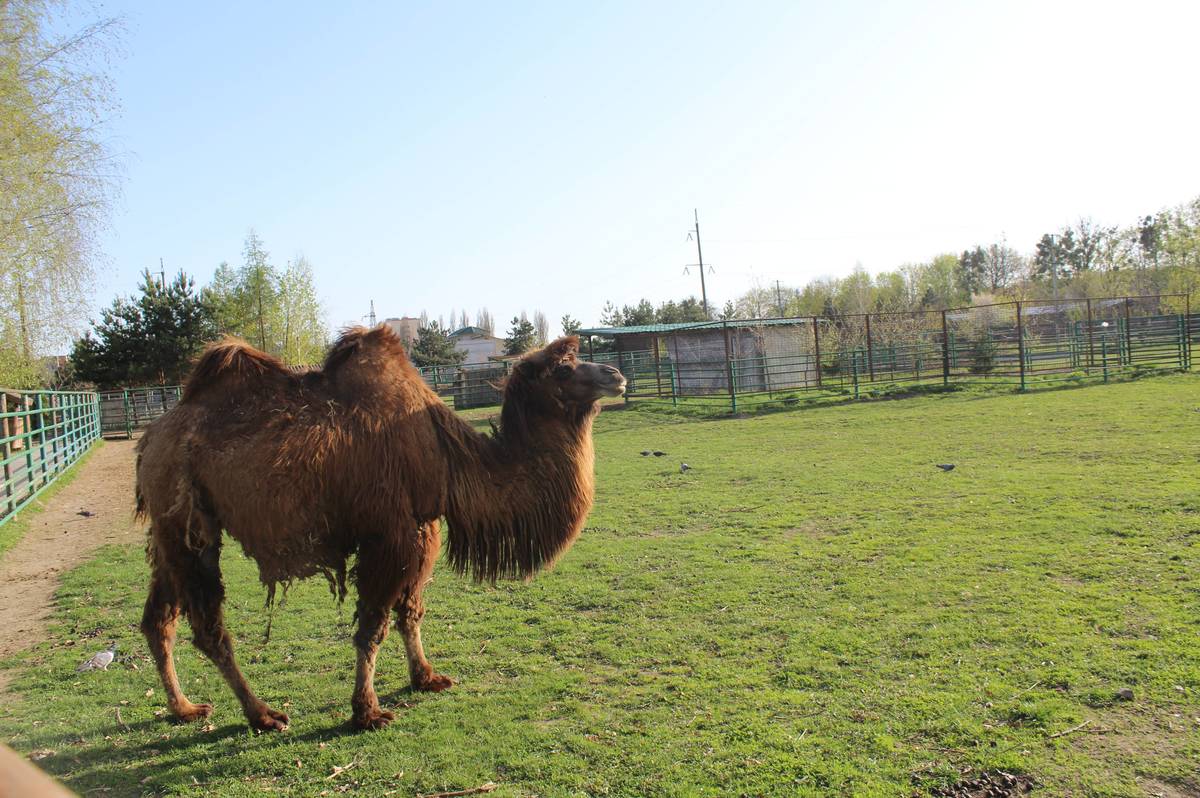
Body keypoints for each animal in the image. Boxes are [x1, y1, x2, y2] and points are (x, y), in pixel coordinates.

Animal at [136, 326, 628, 729]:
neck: (447, 457)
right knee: (207, 626)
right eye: (562, 368)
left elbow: (410, 611)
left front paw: (425, 677)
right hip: (191, 525)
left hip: (168, 530)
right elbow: (373, 625)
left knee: (159, 617)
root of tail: (151, 438)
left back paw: (185, 707)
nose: (615, 374)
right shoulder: (390, 535)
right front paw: (367, 711)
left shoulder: (423, 529)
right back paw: (263, 714)